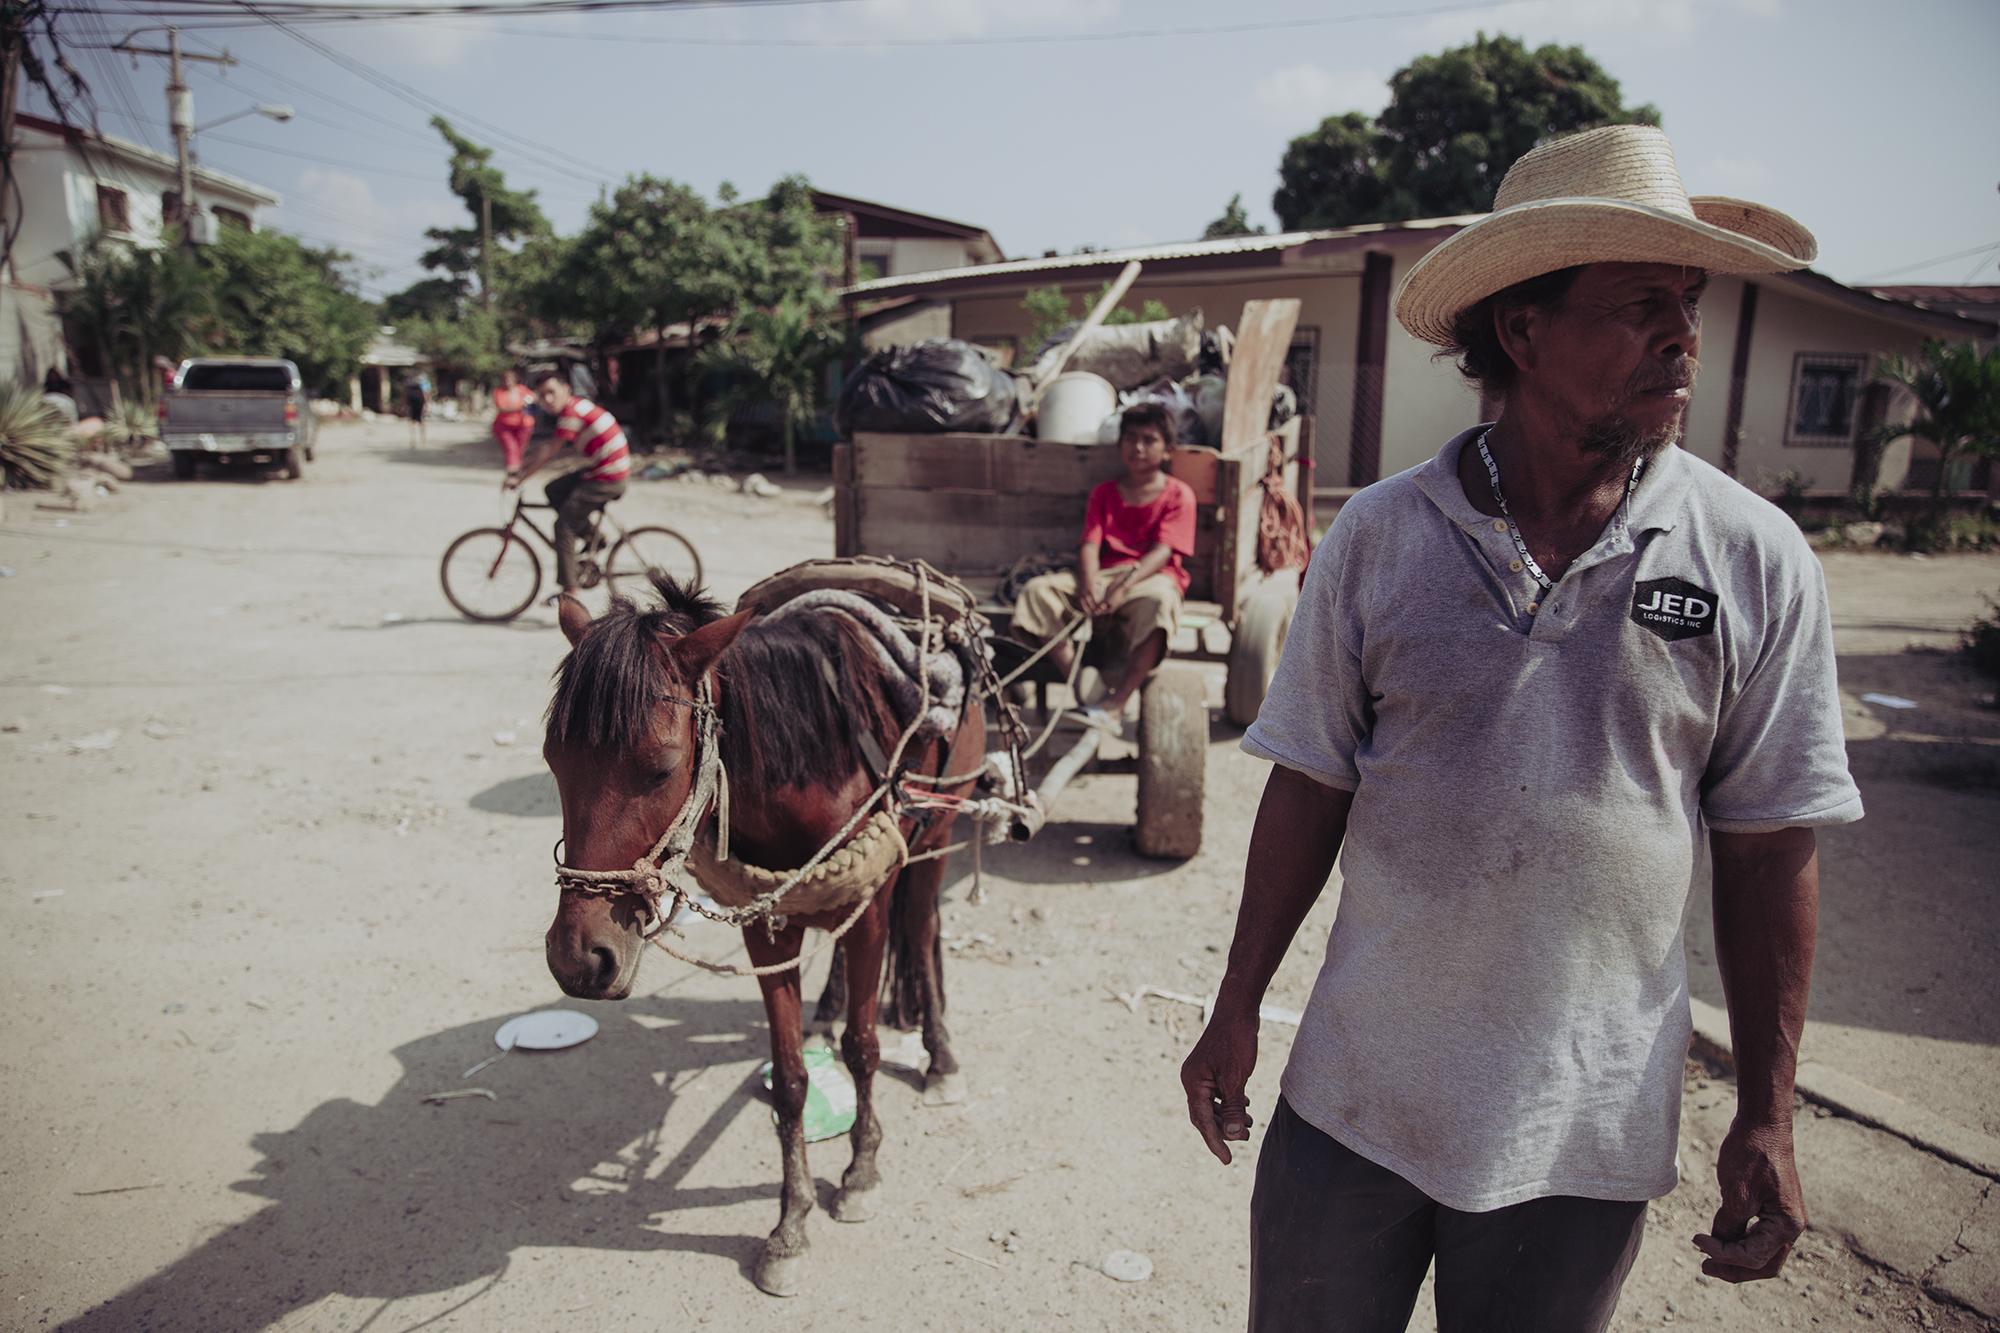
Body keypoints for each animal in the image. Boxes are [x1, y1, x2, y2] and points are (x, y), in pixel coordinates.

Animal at [544, 576, 988, 1288]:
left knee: (921, 929)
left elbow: (865, 1047)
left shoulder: (872, 898)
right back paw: (830, 1011)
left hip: (937, 832)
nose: (580, 959)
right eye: (553, 761)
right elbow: (791, 1079)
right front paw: (790, 1223)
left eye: (661, 767)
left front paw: (859, 1172)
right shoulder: (767, 925)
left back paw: (939, 1053)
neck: (813, 756)